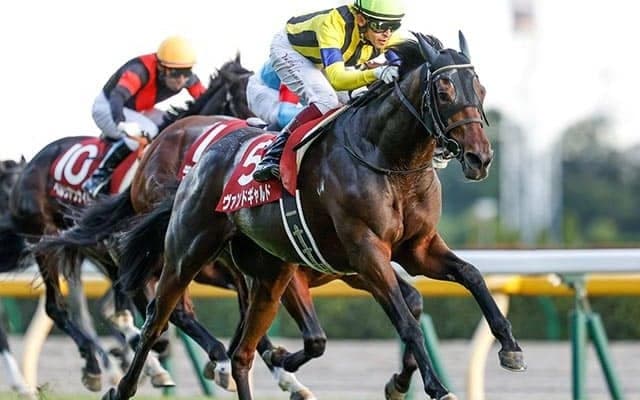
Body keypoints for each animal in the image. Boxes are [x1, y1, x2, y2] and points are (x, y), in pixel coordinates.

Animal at [101, 32, 526, 400]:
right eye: (443, 89)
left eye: (480, 90)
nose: (480, 157)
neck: (389, 161)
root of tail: (201, 159)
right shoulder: (365, 253)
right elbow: (403, 321)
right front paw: (435, 387)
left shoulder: (416, 249)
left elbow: (469, 276)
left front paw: (508, 346)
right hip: (187, 252)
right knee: (158, 318)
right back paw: (126, 385)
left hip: (268, 276)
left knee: (242, 352)